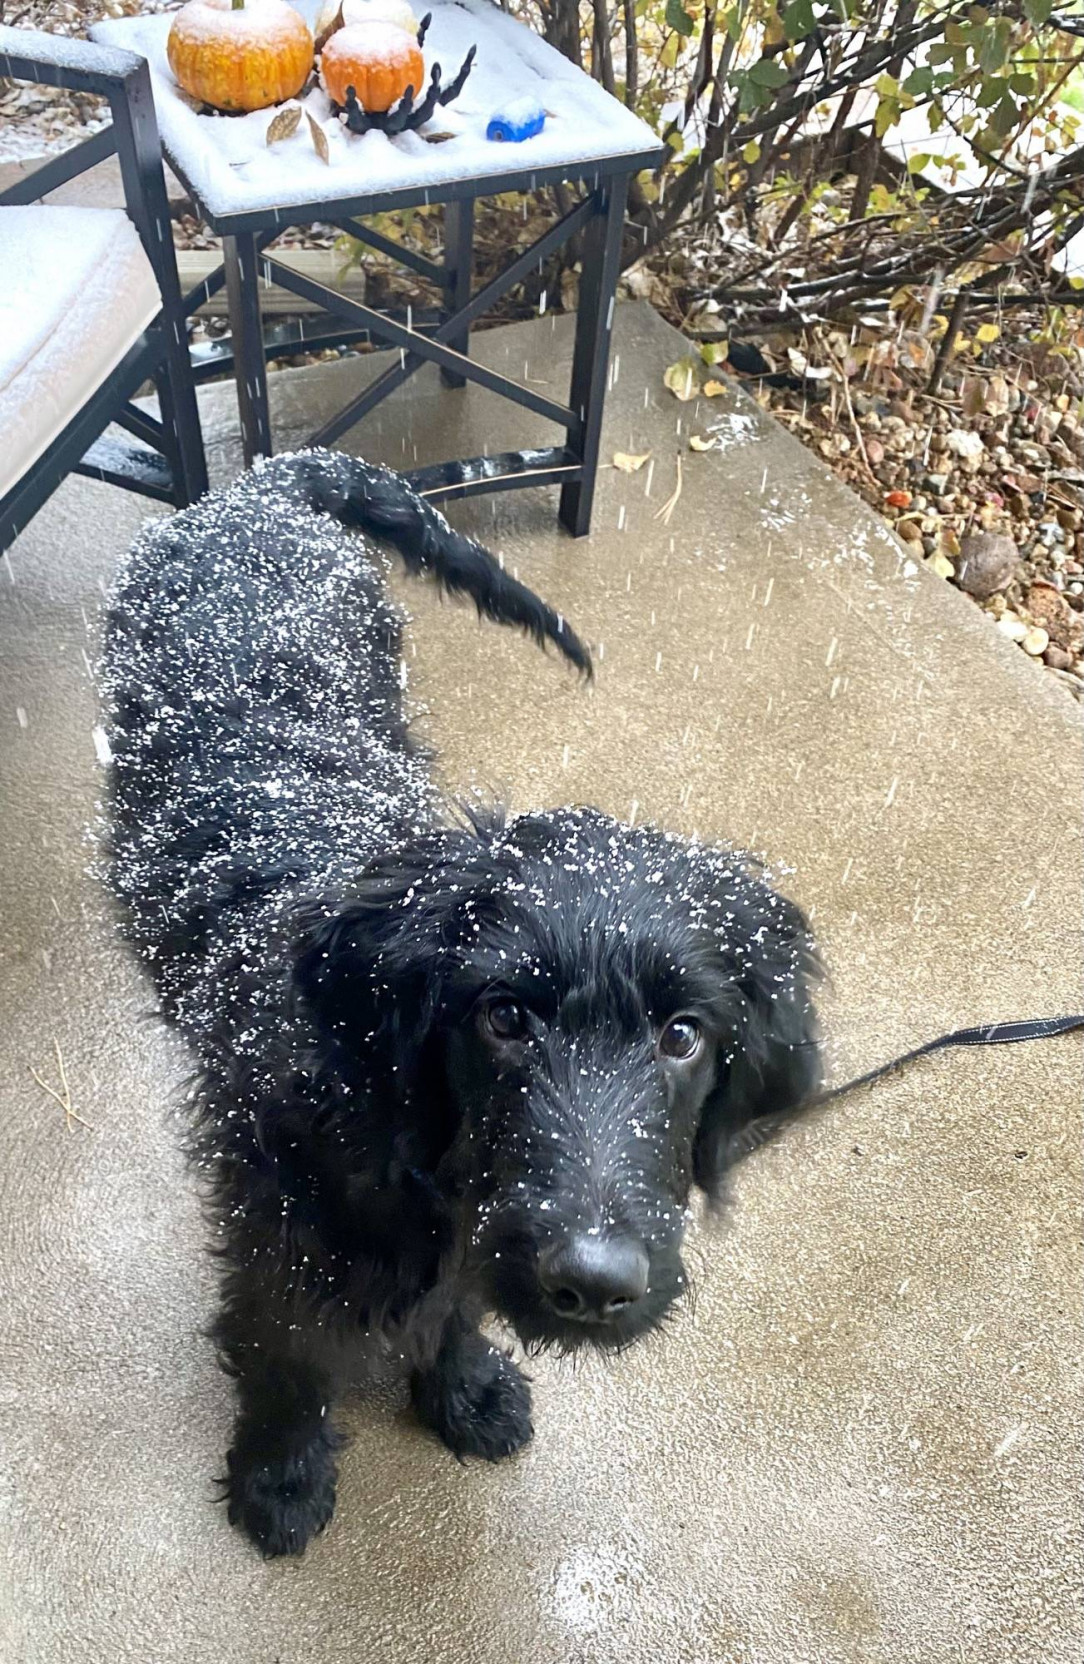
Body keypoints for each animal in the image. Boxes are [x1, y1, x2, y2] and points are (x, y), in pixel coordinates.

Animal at [104, 445, 822, 1557]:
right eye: (504, 1017)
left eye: (682, 1035)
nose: (594, 1282)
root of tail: (255, 489)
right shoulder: (271, 1223)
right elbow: (280, 1346)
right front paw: (280, 1471)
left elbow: (453, 1301)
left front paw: (461, 1385)